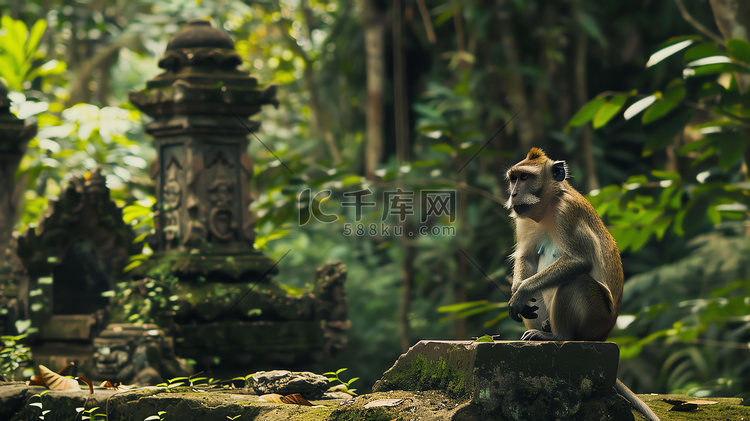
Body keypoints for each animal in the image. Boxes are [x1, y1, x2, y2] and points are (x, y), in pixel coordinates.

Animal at [508, 148, 660, 420]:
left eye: (525, 178)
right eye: (513, 178)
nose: (513, 194)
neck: (548, 207)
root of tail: (604, 335)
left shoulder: (568, 212)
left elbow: (579, 262)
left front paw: (522, 291)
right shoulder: (523, 219)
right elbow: (527, 257)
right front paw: (518, 289)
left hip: (596, 318)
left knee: (575, 282)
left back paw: (556, 336)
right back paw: (542, 329)